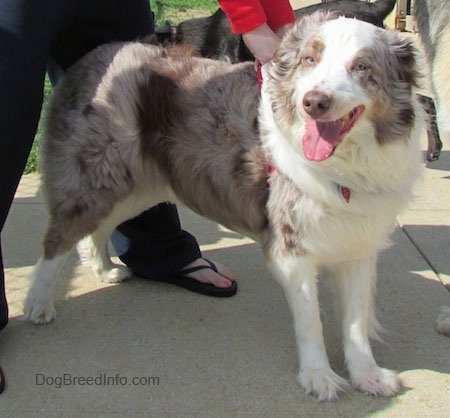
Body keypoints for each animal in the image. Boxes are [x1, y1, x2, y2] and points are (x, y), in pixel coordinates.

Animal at [25, 15, 426, 402]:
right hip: (98, 181)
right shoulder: (290, 248)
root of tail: (92, 57)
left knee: (95, 232)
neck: (347, 162)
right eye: (310, 60)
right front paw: (318, 377)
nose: (313, 102)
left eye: (361, 66)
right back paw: (37, 304)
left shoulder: (358, 244)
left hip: (138, 188)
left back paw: (104, 270)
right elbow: (311, 320)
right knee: (58, 239)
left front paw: (367, 376)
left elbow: (356, 322)